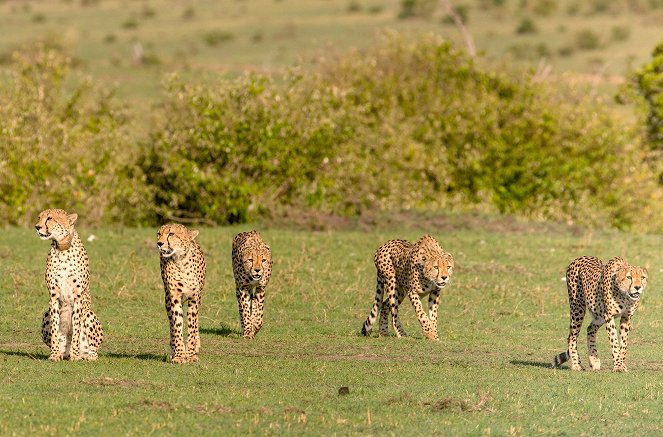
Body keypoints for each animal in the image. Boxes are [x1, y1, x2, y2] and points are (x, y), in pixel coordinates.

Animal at [35, 209, 104, 360]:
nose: (37, 227)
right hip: (46, 314)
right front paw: (54, 354)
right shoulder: (53, 296)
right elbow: (55, 327)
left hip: (89, 314)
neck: (63, 249)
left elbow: (76, 327)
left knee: (93, 350)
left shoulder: (78, 296)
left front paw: (75, 355)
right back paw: (62, 353)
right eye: (39, 217)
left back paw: (85, 356)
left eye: (49, 218)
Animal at [158, 223, 206, 362]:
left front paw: (190, 354)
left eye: (171, 234)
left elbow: (192, 325)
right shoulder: (174, 298)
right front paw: (179, 354)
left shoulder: (194, 298)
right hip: (167, 301)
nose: (159, 243)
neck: (180, 260)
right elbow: (177, 324)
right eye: (159, 234)